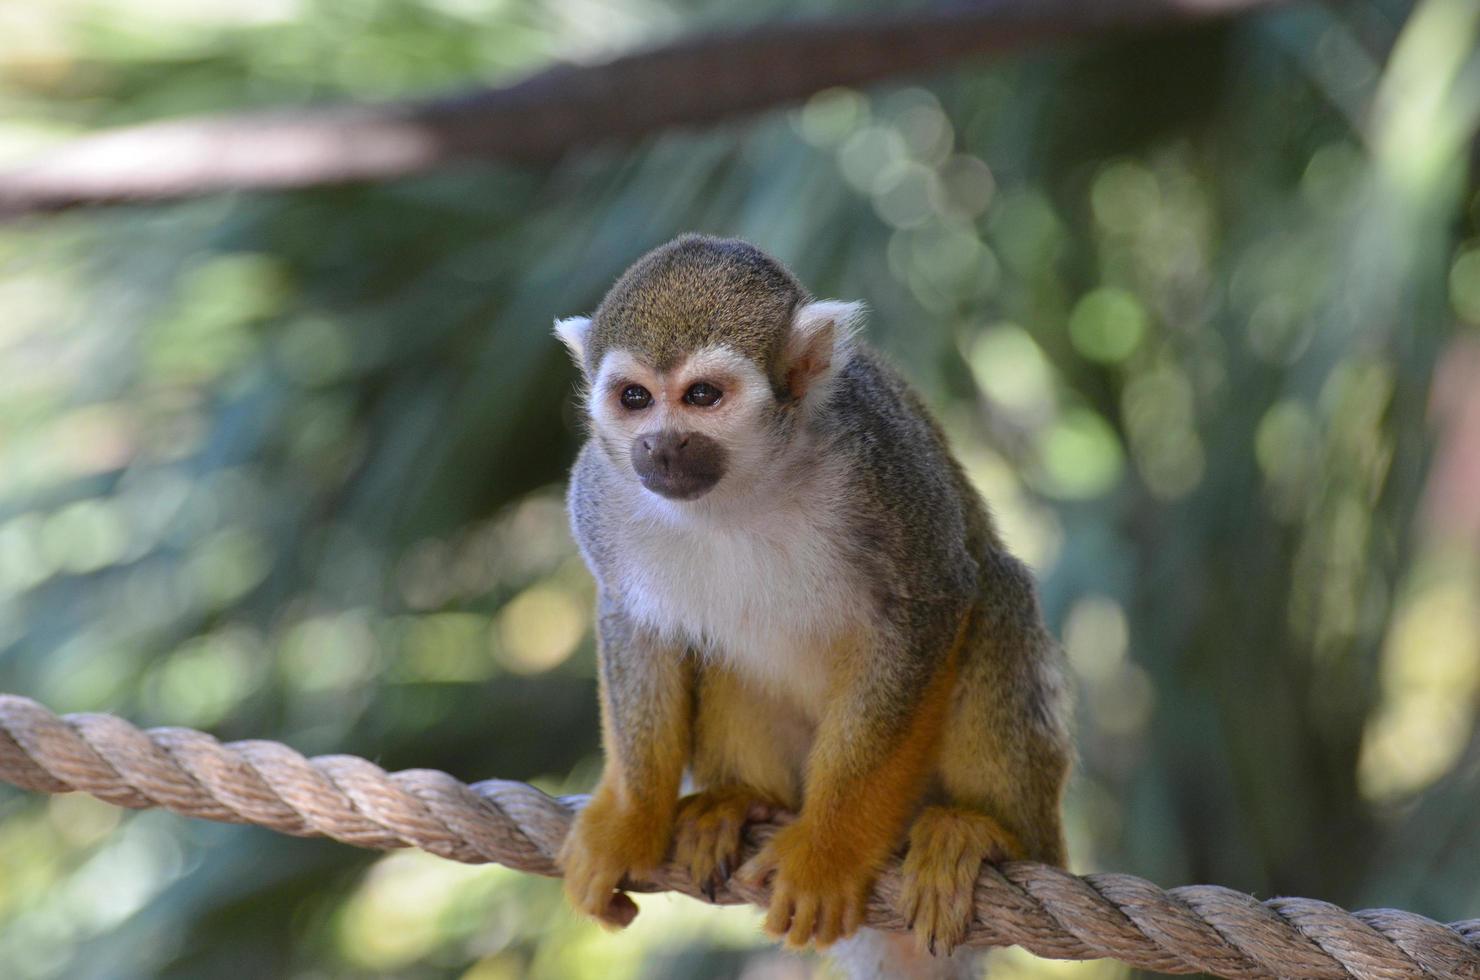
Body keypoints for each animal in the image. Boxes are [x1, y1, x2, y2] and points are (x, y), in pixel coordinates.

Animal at [550, 232, 1071, 959]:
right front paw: (627, 822)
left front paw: (828, 853)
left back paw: (991, 833)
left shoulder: (879, 460)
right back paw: (743, 799)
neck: (745, 485)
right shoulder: (600, 488)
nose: (658, 446)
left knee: (998, 594)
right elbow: (635, 625)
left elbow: (931, 600)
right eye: (634, 398)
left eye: (701, 395)